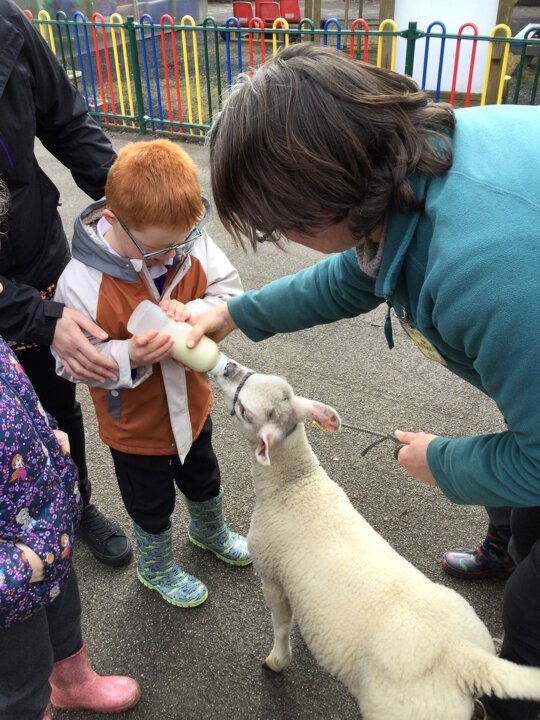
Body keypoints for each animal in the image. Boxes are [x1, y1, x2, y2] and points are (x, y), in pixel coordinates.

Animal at [213, 358, 540, 720]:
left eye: (245, 411)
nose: (228, 367)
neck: (296, 485)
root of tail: (463, 659)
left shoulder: (271, 573)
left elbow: (281, 624)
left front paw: (277, 660)